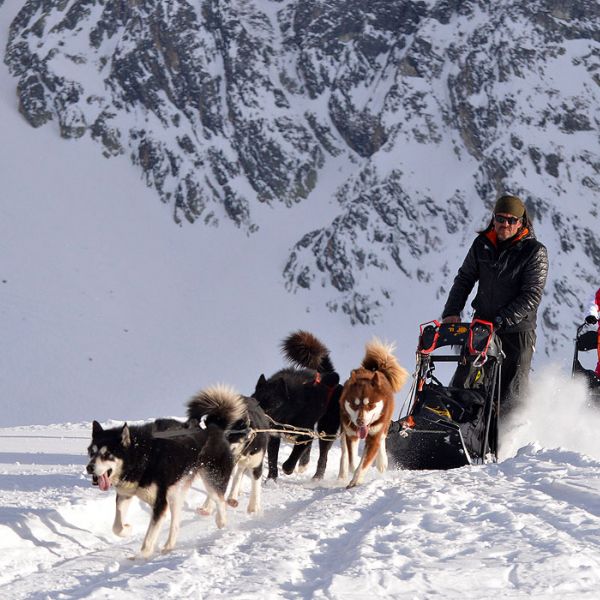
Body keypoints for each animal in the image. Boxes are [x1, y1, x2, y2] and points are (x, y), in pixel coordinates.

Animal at [252, 330, 342, 480]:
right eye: (257, 403)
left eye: (275, 404)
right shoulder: (274, 435)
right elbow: (272, 460)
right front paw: (271, 479)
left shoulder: (305, 433)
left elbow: (291, 459)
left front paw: (287, 469)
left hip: (327, 428)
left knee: (323, 455)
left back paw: (317, 476)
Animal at [338, 338, 408, 488]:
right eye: (354, 404)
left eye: (370, 405)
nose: (360, 421)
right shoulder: (351, 434)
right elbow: (353, 460)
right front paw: (353, 471)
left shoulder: (374, 435)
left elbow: (365, 461)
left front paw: (356, 479)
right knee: (344, 451)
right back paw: (342, 473)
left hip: (384, 424)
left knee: (382, 438)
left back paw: (382, 461)